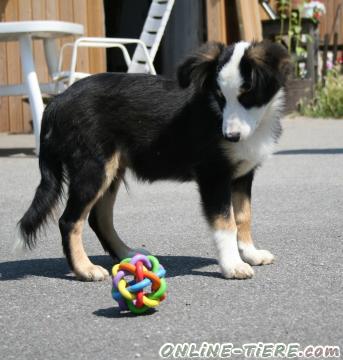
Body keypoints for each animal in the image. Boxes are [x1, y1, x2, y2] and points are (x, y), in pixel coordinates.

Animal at [18, 40, 290, 282]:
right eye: (220, 96)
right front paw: (233, 265)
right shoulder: (213, 175)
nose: (231, 136)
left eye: (247, 95)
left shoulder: (243, 175)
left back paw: (126, 254)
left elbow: (243, 216)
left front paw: (250, 254)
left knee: (99, 218)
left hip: (111, 169)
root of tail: (57, 101)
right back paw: (85, 269)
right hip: (93, 167)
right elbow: (226, 222)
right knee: (69, 221)